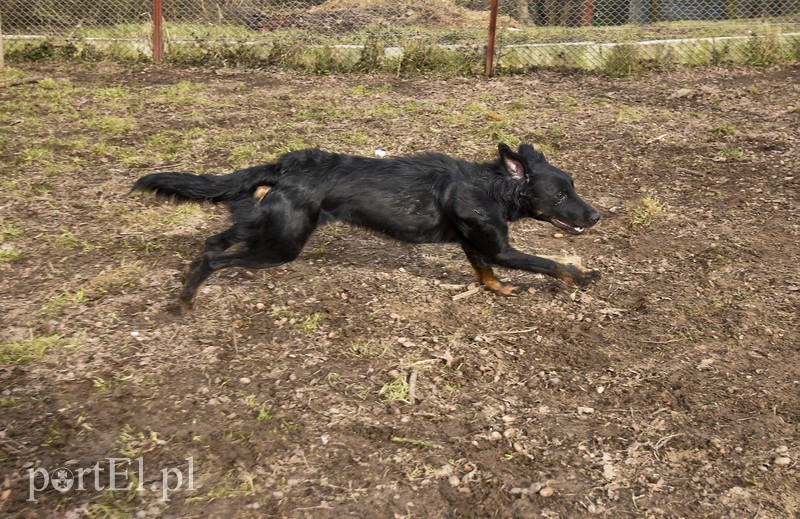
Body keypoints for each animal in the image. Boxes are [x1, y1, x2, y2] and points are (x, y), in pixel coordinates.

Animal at [133, 142, 600, 306]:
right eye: (561, 196)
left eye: (573, 188)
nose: (596, 215)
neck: (496, 187)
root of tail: (284, 165)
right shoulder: (500, 247)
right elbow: (550, 263)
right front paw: (582, 276)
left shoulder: (479, 245)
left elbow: (484, 273)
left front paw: (500, 289)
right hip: (281, 246)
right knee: (215, 258)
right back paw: (187, 300)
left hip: (265, 227)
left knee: (213, 241)